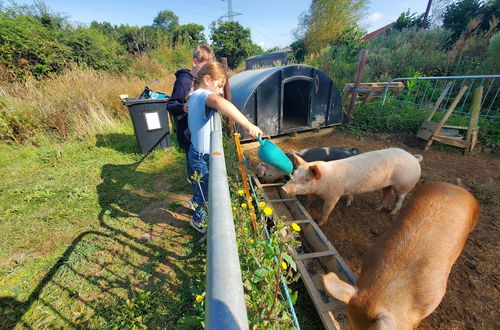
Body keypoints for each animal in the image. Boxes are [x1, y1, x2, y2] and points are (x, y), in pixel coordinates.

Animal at [282, 148, 422, 226]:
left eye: (305, 179)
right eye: (294, 174)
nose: (283, 189)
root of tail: (414, 158)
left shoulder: (334, 196)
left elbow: (326, 210)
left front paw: (320, 223)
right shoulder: (313, 193)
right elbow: (309, 200)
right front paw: (306, 207)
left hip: (404, 184)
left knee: (400, 198)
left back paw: (392, 212)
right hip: (387, 184)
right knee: (386, 194)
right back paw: (376, 208)